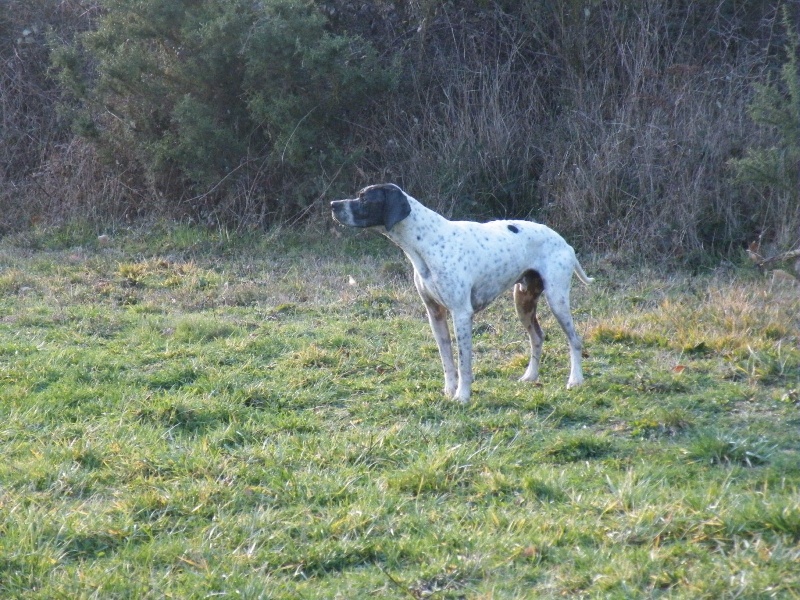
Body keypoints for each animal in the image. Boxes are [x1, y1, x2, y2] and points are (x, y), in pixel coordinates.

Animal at [332, 180, 592, 400]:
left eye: (364, 198)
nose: (333, 205)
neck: (428, 242)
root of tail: (564, 242)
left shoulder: (461, 314)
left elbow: (463, 362)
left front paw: (463, 396)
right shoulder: (435, 314)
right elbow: (447, 359)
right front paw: (449, 390)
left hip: (557, 300)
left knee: (575, 340)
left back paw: (575, 380)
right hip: (523, 302)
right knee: (537, 337)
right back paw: (531, 376)